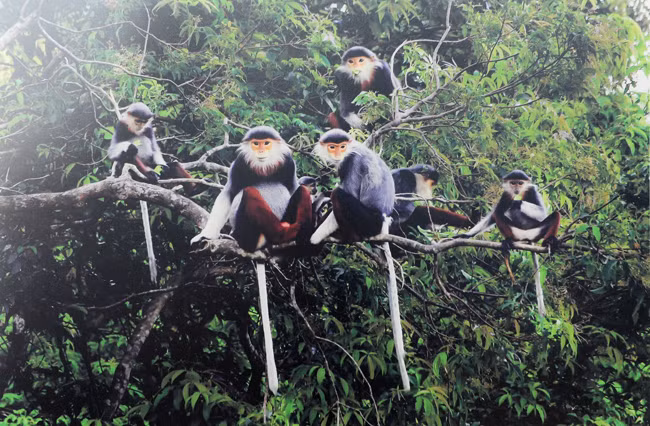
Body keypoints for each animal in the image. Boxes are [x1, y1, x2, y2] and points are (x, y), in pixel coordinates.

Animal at [190, 126, 312, 395]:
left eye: (266, 143)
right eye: (256, 143)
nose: (261, 151)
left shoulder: (287, 162)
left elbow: (293, 186)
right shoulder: (239, 164)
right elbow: (229, 194)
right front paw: (206, 235)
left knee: (300, 191)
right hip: (252, 235)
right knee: (248, 193)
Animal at [310, 129, 410, 391]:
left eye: (342, 146)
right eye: (332, 146)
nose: (337, 152)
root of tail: (383, 222)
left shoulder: (351, 163)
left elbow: (348, 191)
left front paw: (312, 236)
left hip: (368, 221)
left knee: (341, 195)